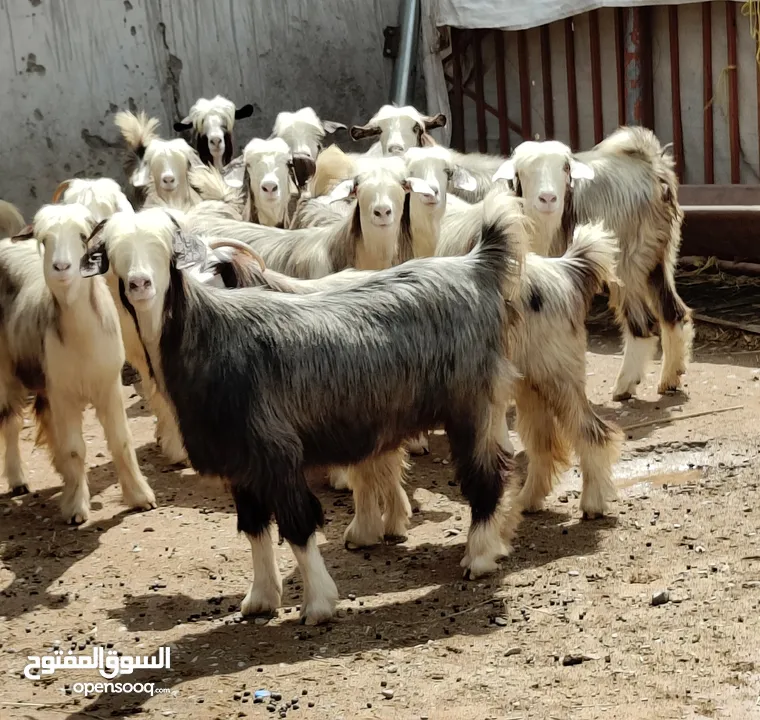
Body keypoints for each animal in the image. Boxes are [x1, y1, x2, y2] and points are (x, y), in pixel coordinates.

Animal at [0, 202, 157, 524]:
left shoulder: (107, 385)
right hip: (7, 369)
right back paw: (18, 479)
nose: (61, 267)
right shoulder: (63, 392)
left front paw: (140, 497)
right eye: (44, 240)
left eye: (84, 237)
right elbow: (74, 448)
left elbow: (121, 441)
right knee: (10, 420)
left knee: (43, 417)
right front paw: (75, 508)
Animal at [80, 200, 524, 620]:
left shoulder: (276, 452)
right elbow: (254, 527)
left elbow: (297, 524)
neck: (213, 335)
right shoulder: (240, 461)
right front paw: (260, 599)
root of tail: (478, 264)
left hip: (471, 405)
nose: (140, 283)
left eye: (164, 251)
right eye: (113, 254)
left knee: (486, 474)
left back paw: (479, 557)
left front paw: (318, 604)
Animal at [492, 128, 696, 400]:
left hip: (627, 262)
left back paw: (625, 385)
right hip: (657, 256)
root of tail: (650, 163)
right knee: (673, 312)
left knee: (643, 323)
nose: (548, 198)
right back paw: (669, 378)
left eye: (566, 168)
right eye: (521, 171)